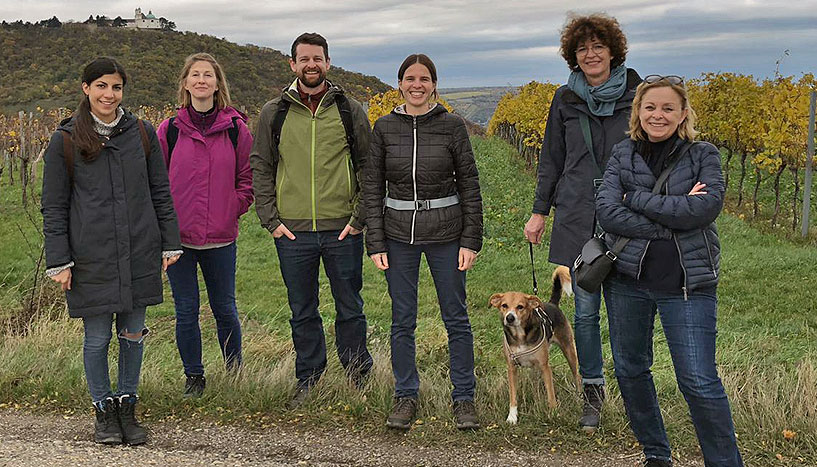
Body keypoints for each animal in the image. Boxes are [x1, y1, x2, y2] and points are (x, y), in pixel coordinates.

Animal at [490, 266, 580, 424]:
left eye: (520, 307)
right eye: (504, 306)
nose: (510, 317)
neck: (520, 336)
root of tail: (552, 303)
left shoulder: (545, 366)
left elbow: (551, 393)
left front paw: (553, 412)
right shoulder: (511, 368)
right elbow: (513, 395)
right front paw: (512, 416)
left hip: (569, 350)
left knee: (577, 376)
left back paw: (580, 398)